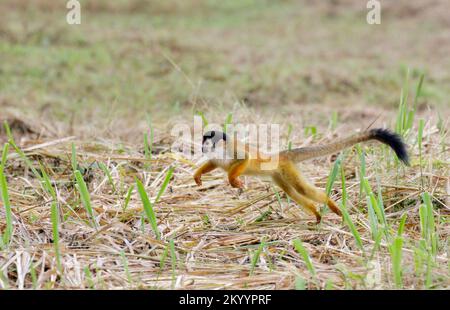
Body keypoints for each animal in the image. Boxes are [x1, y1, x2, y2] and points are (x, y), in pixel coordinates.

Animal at [193, 128, 408, 223]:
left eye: (207, 139)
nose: (202, 146)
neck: (220, 150)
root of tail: (281, 155)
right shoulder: (217, 157)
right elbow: (213, 164)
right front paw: (198, 176)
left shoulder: (232, 147)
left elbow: (245, 159)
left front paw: (233, 180)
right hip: (280, 175)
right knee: (292, 192)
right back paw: (316, 213)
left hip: (287, 170)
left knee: (301, 189)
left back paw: (330, 204)